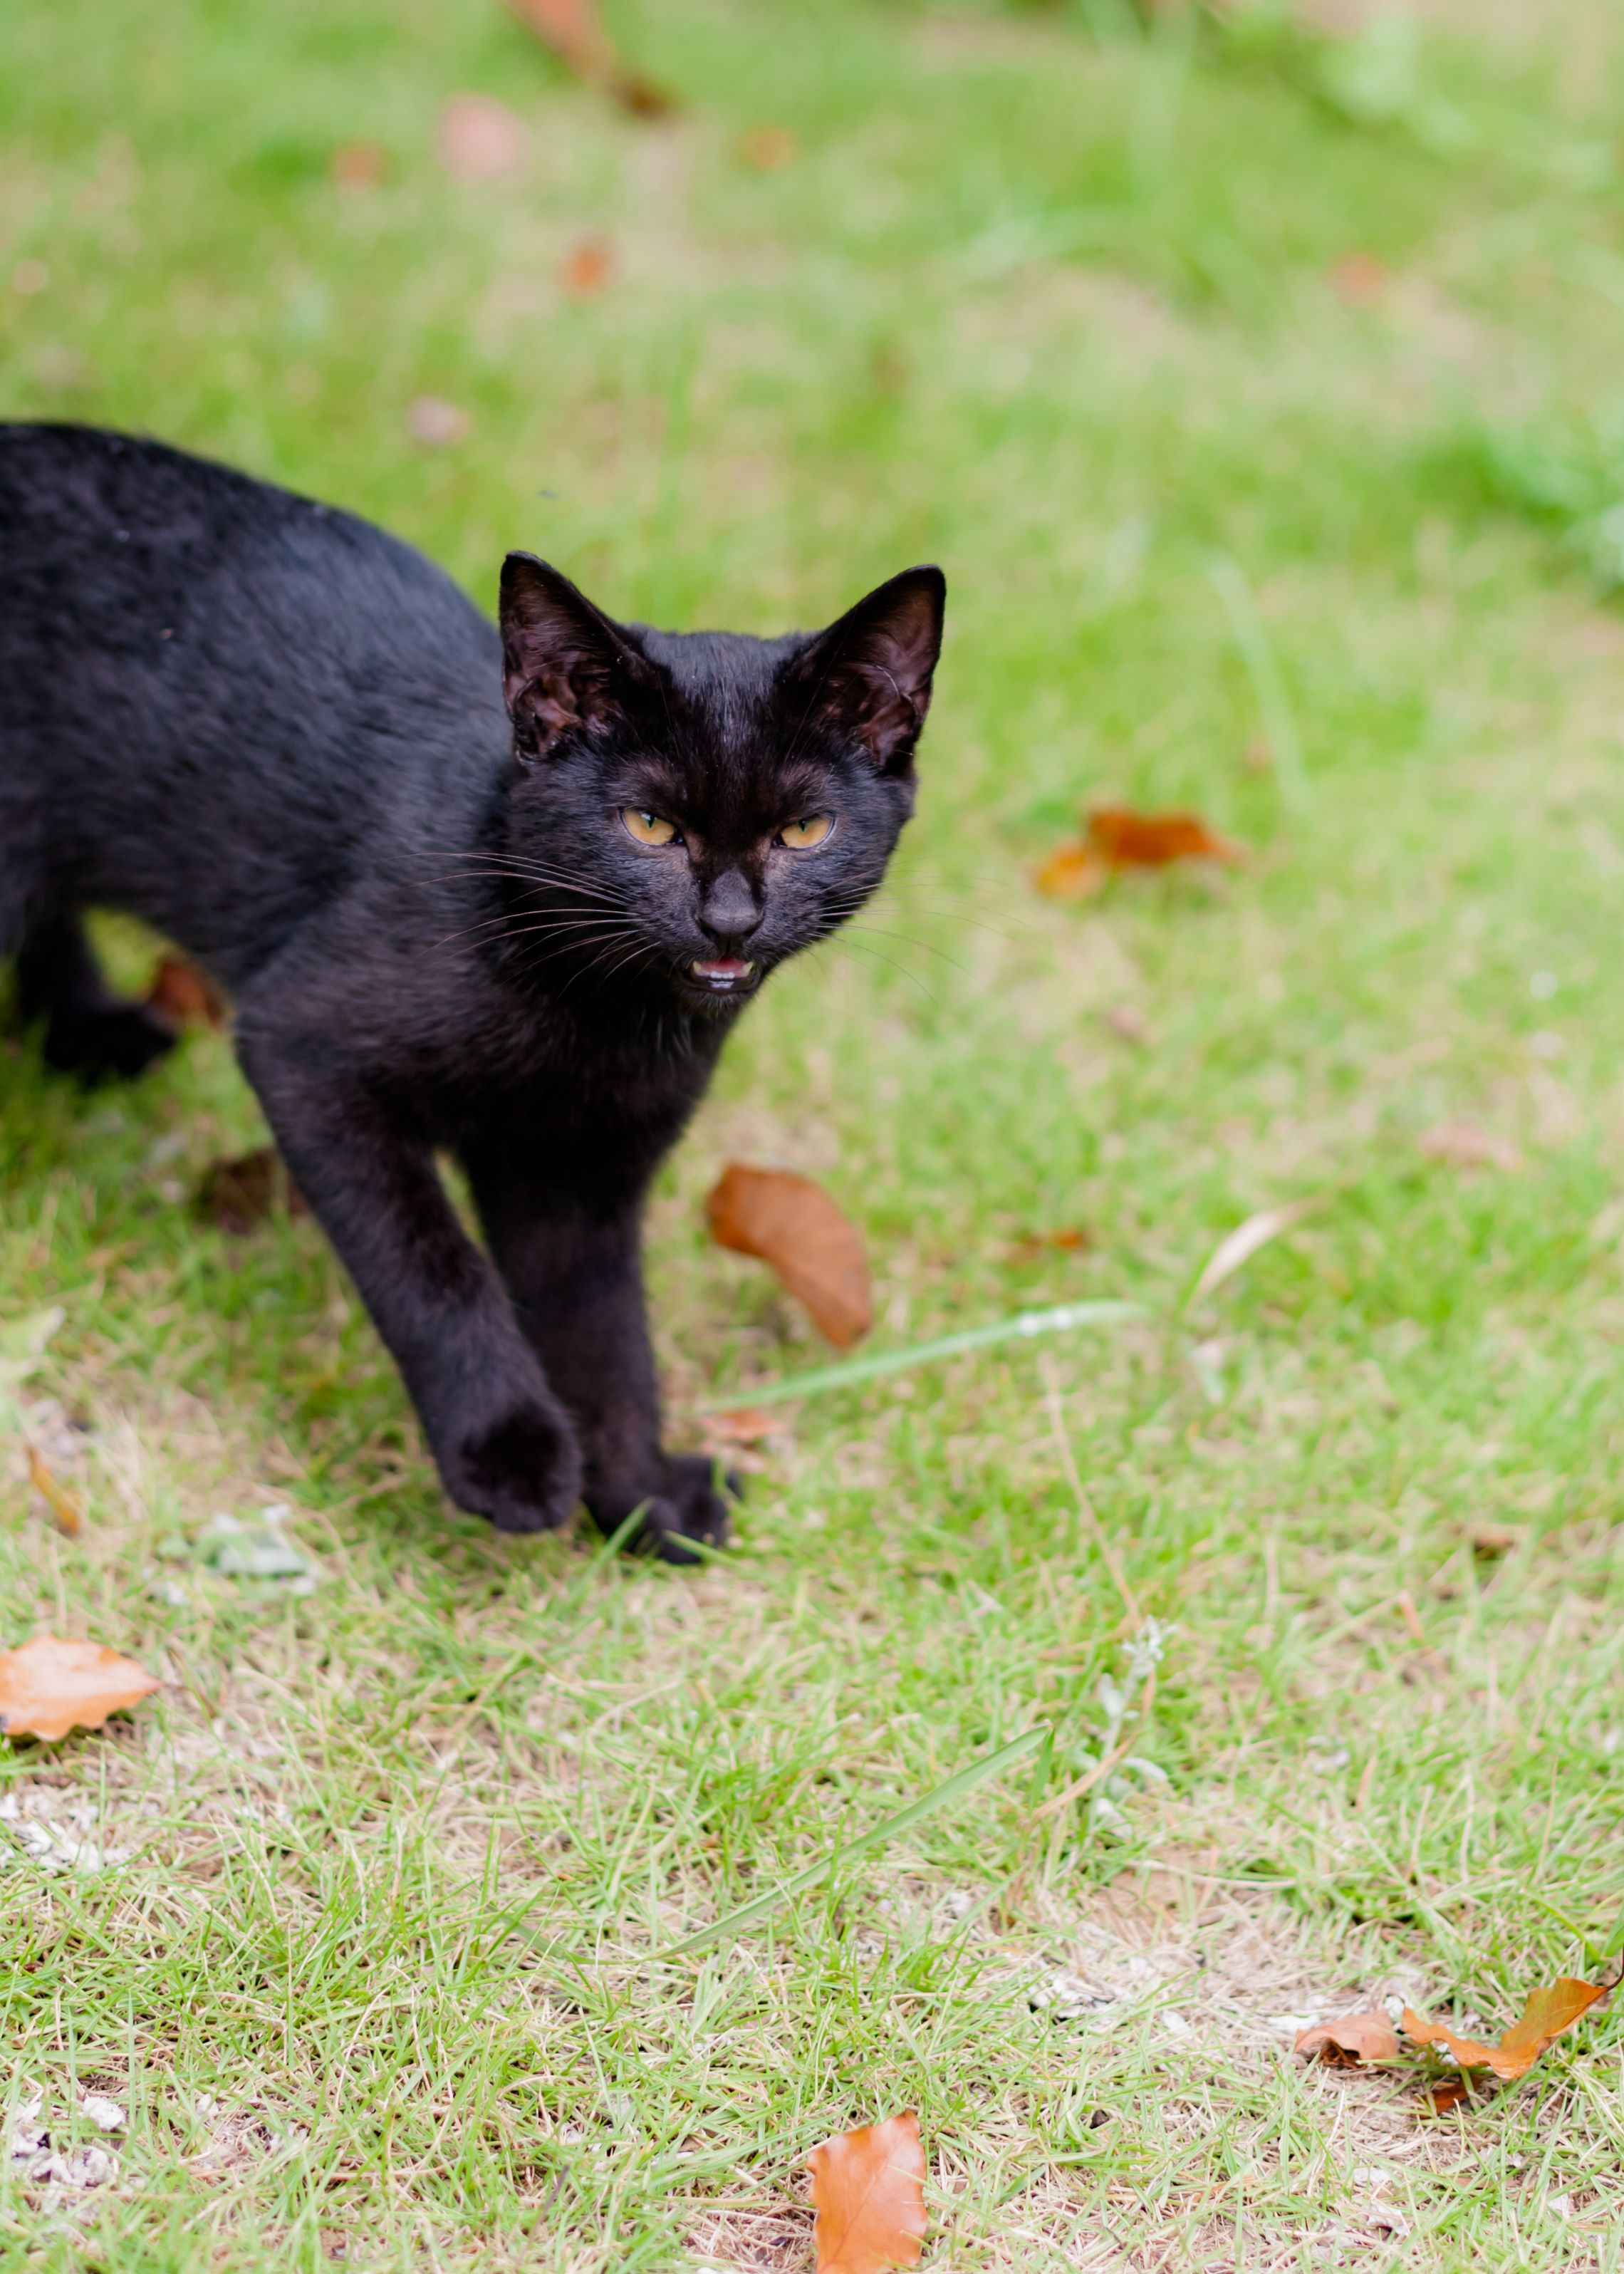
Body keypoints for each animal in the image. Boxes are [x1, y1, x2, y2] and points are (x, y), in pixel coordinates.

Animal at [0, 427, 942, 1555]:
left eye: (803, 831)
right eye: (649, 826)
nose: (729, 920)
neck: (593, 1013)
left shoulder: (580, 1172)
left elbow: (605, 1335)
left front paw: (640, 1499)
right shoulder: (307, 1048)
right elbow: (431, 1267)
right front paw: (512, 1454)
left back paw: (88, 1033)